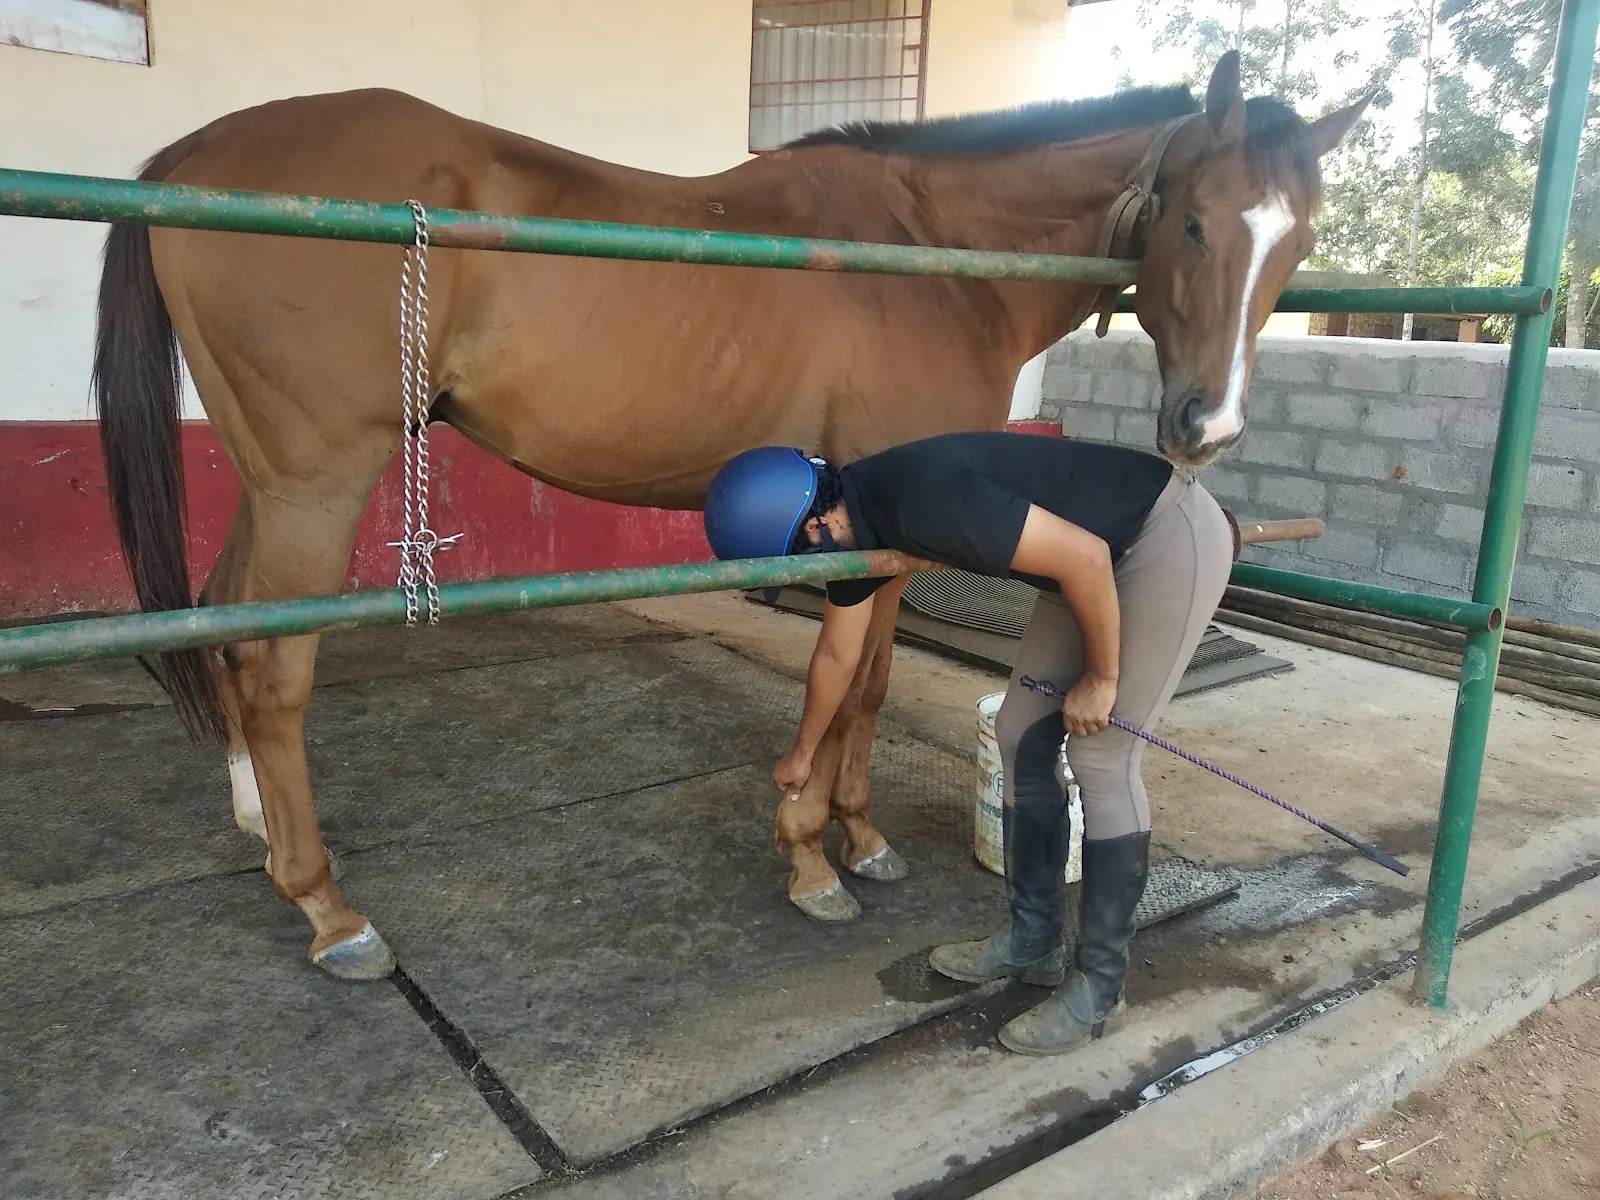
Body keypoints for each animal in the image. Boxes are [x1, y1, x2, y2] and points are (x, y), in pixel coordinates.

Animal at [90, 50, 1364, 980]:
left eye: (1296, 241)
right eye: (1194, 222)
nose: (1206, 428)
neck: (933, 260)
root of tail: (194, 154)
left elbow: (872, 684)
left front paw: (861, 837)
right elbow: (842, 685)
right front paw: (810, 859)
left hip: (273, 481)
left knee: (227, 625)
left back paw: (259, 834)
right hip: (319, 478)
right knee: (274, 672)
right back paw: (329, 909)